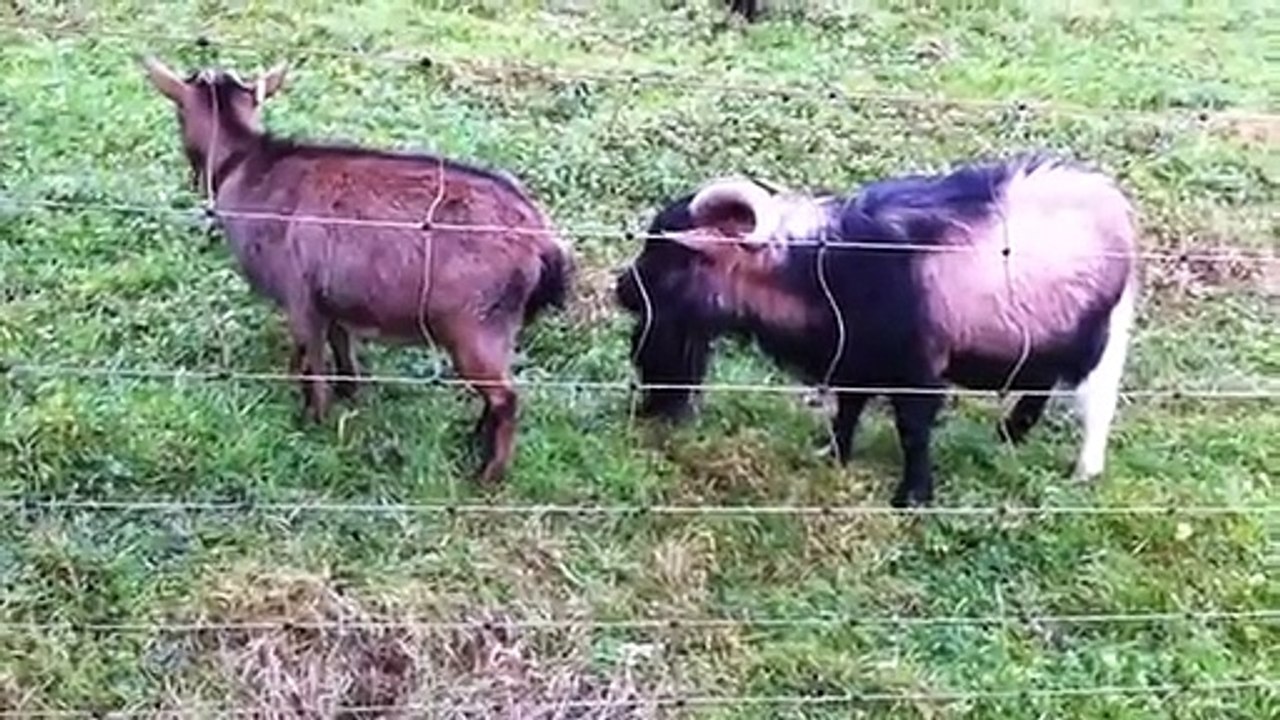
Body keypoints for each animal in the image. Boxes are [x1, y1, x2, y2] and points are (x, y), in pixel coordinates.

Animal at [142, 56, 574, 486]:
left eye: (179, 112)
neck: (247, 166)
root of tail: (544, 242)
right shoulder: (330, 295)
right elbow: (340, 343)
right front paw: (349, 390)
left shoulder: (298, 294)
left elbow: (311, 363)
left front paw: (313, 420)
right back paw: (474, 440)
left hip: (476, 324)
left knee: (507, 397)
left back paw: (488, 474)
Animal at [615, 155, 1138, 506]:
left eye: (671, 254)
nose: (623, 290)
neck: (821, 270)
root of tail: (1117, 208)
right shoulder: (855, 359)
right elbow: (847, 411)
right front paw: (832, 455)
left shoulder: (917, 369)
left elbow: (913, 430)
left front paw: (912, 496)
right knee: (1040, 382)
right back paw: (1011, 432)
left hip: (1095, 335)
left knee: (1094, 399)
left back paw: (1084, 469)